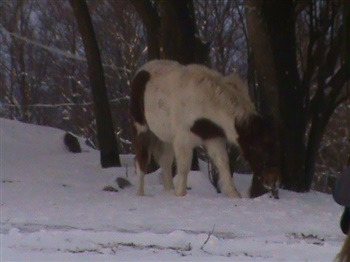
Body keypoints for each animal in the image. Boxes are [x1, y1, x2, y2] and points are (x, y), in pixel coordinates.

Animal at [130, 59, 278, 198]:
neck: (205, 103)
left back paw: (169, 191)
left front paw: (233, 194)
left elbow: (223, 163)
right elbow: (184, 168)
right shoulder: (183, 140)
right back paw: (140, 193)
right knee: (142, 160)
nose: (271, 181)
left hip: (165, 137)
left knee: (165, 162)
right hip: (142, 129)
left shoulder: (214, 138)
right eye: (257, 147)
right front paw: (180, 194)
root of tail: (142, 70)